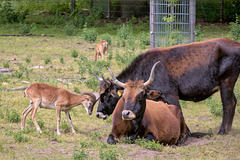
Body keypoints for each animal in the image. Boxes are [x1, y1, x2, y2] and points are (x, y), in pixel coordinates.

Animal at [94, 37, 240, 136]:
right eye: (124, 96)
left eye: (105, 95)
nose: (98, 114)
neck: (146, 68)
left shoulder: (171, 95)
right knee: (233, 102)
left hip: (226, 83)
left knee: (228, 104)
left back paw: (223, 131)